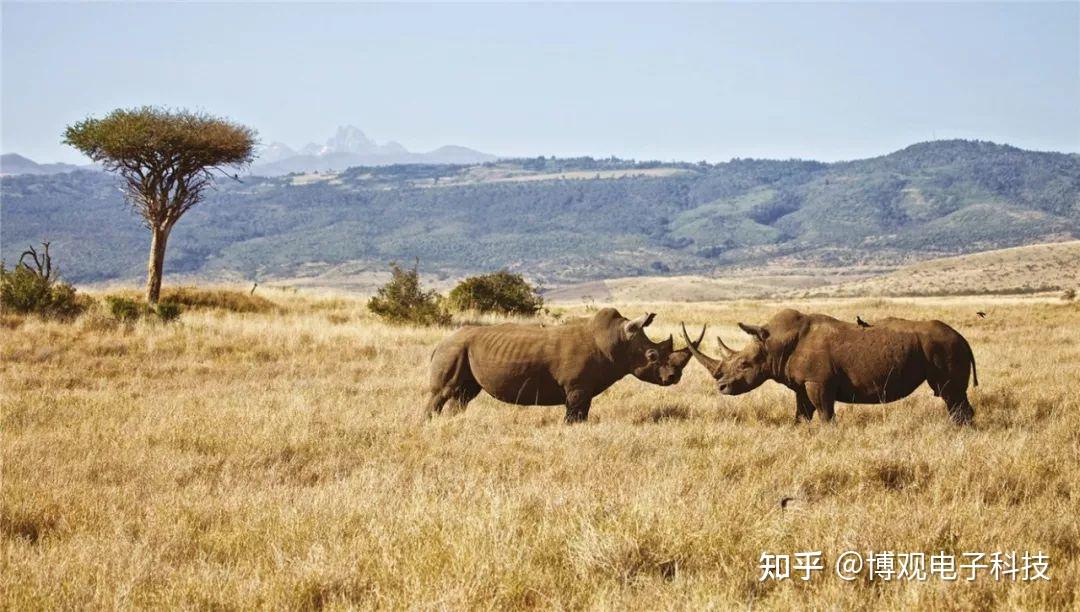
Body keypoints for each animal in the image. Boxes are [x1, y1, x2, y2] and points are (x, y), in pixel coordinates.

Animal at [425, 308, 704, 423]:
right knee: (443, 392)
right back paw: (430, 423)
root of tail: (439, 343)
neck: (617, 340)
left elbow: (582, 414)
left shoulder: (585, 388)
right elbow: (573, 415)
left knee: (464, 395)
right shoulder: (577, 387)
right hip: (453, 350)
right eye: (652, 356)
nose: (673, 378)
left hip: (462, 350)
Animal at [682, 308, 980, 423]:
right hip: (946, 346)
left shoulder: (819, 382)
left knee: (950, 394)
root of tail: (965, 339)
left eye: (744, 364)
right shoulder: (802, 384)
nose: (721, 387)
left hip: (946, 347)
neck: (775, 343)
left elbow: (825, 414)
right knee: (954, 397)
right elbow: (802, 414)